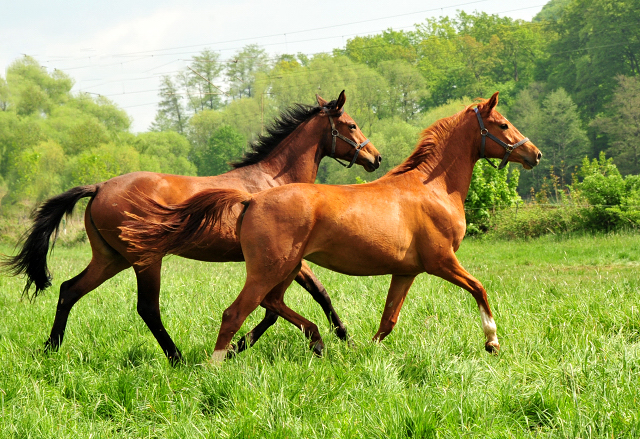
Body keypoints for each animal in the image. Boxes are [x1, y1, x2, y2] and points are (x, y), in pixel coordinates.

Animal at [3, 91, 380, 366]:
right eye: (350, 125)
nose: (375, 158)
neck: (273, 181)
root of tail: (99, 187)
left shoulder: (285, 262)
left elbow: (294, 302)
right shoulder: (287, 259)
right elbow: (306, 298)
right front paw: (343, 338)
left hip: (110, 259)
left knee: (69, 290)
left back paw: (51, 349)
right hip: (145, 260)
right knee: (147, 308)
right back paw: (177, 358)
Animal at [120, 92, 540, 360]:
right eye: (503, 125)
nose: (534, 154)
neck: (430, 187)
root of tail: (251, 200)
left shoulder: (407, 272)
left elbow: (387, 321)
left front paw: (363, 353)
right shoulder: (442, 261)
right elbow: (480, 288)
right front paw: (492, 342)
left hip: (287, 268)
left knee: (272, 305)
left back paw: (316, 342)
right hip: (269, 269)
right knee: (235, 313)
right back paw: (217, 365)